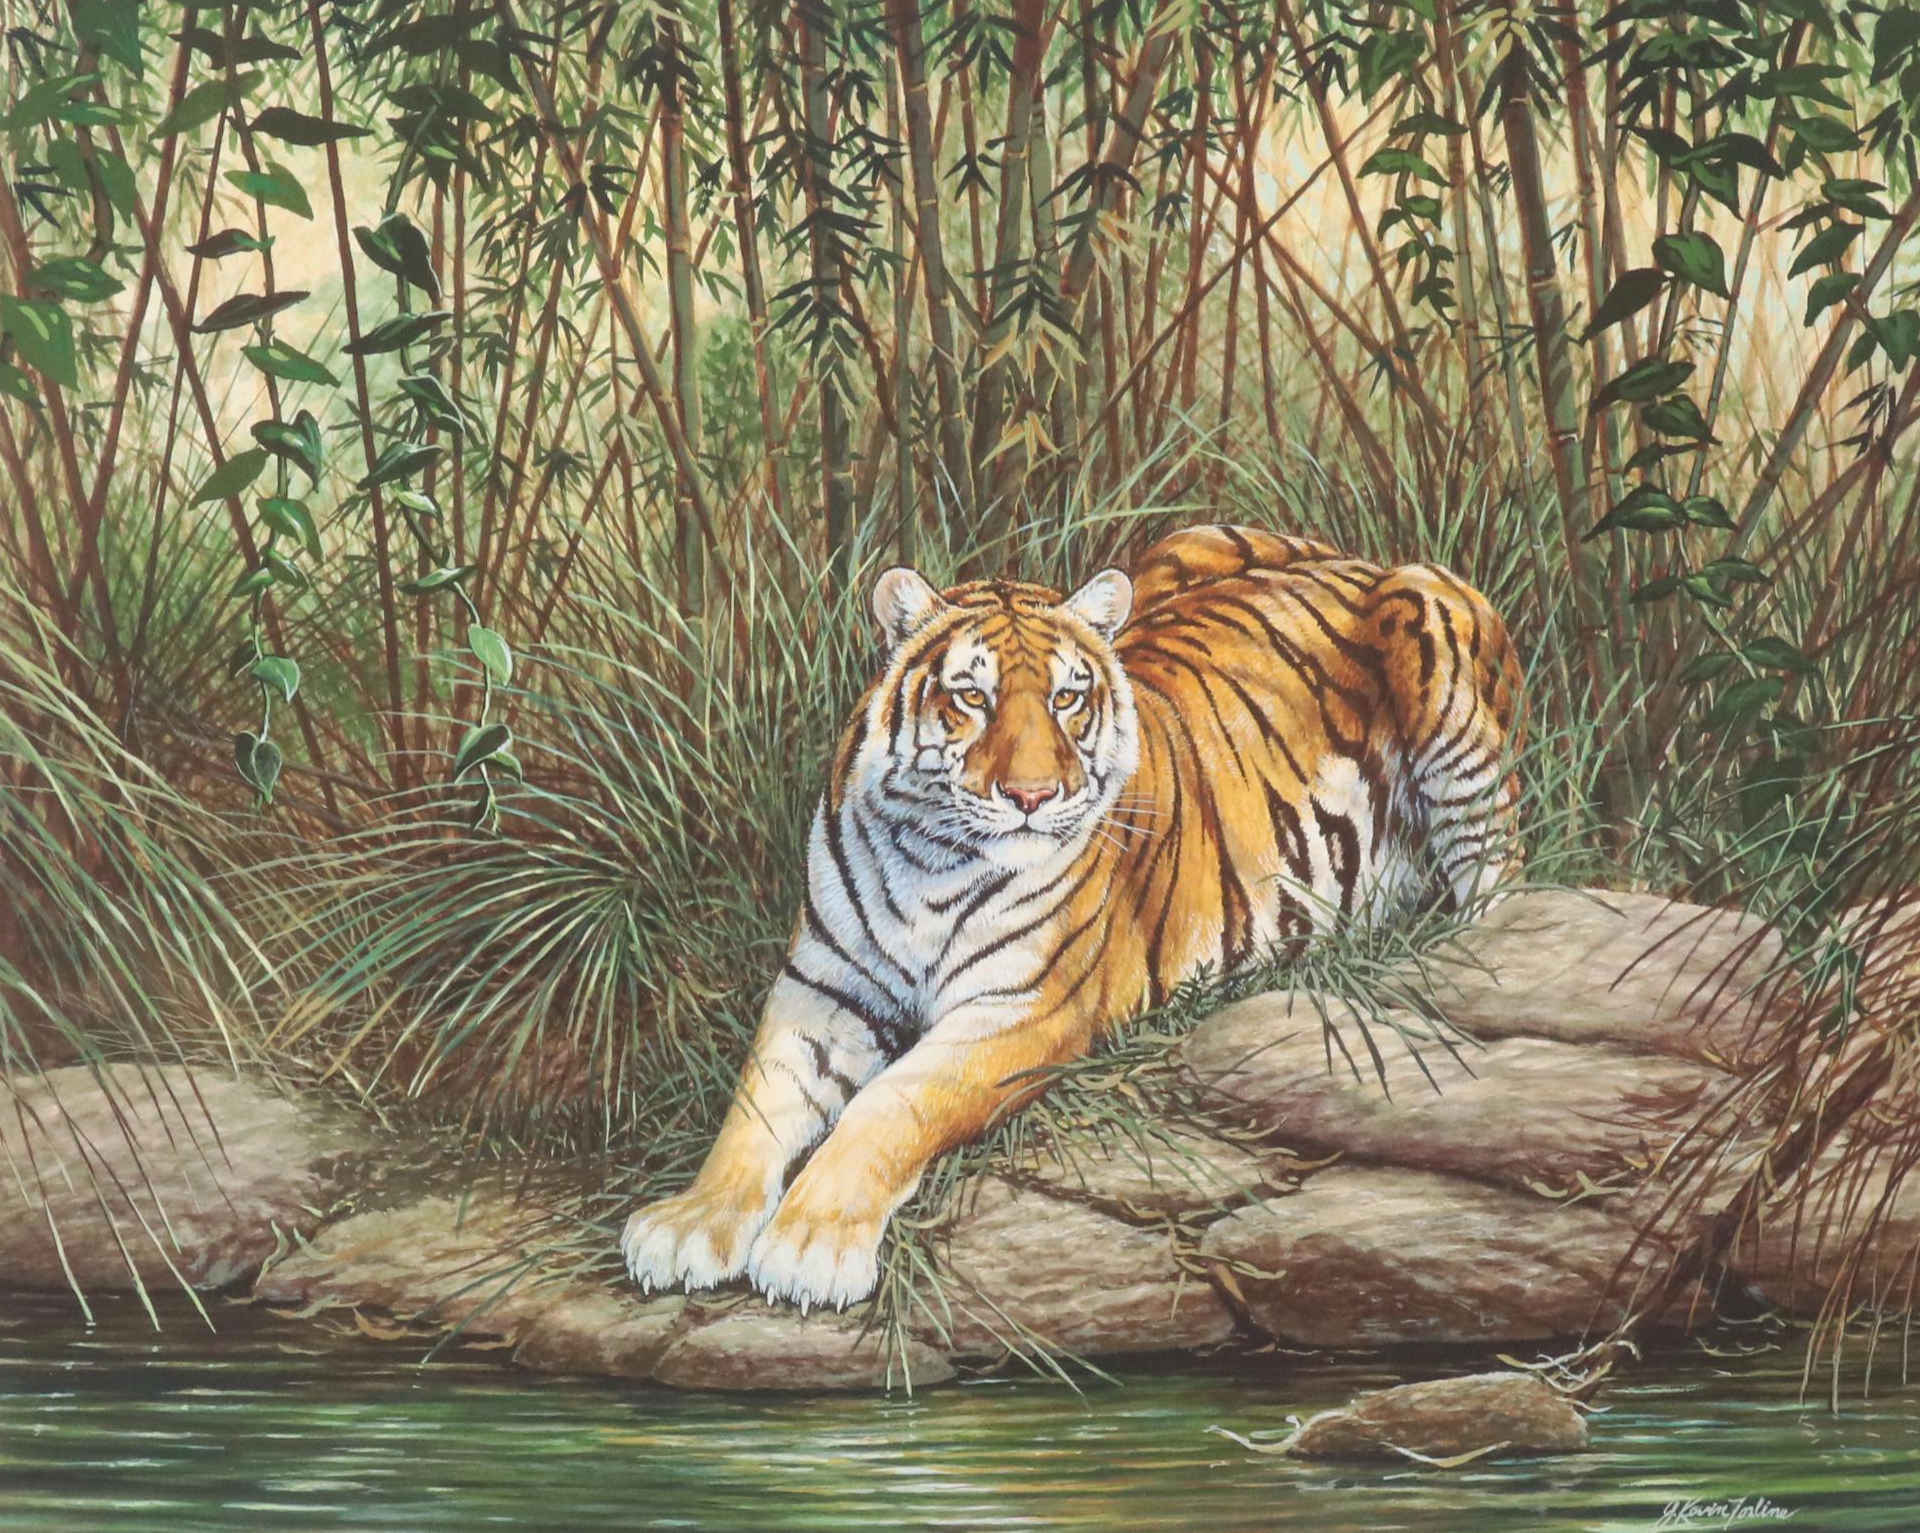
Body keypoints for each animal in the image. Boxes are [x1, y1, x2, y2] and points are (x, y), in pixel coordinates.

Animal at [622, 523, 1525, 1312]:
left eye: (1066, 698)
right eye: (972, 697)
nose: (1032, 796)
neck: (929, 854)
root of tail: (1355, 557)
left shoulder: (1021, 1009)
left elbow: (890, 1105)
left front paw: (810, 1245)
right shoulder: (823, 992)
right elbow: (754, 1108)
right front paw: (690, 1224)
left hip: (1430, 632)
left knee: (1498, 883)